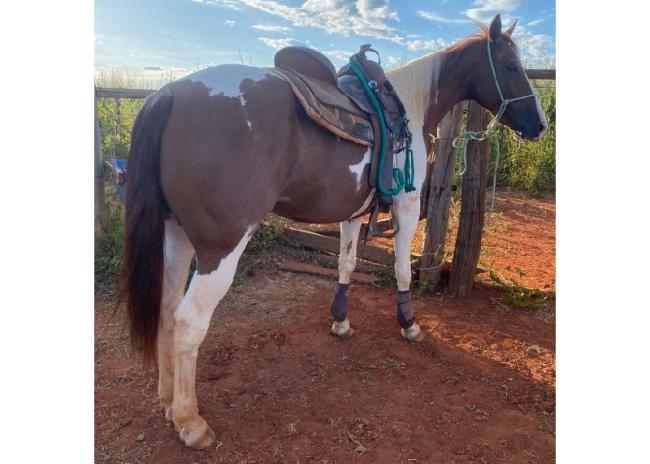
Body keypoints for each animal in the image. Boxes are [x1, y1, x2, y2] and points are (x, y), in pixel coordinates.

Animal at [120, 14, 547, 449]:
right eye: (510, 66)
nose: (541, 125)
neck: (409, 106)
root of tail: (167, 96)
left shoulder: (353, 212)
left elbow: (346, 263)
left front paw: (341, 322)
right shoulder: (408, 206)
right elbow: (402, 270)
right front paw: (408, 324)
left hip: (176, 236)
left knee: (167, 308)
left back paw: (168, 401)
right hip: (221, 248)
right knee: (188, 322)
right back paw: (190, 422)